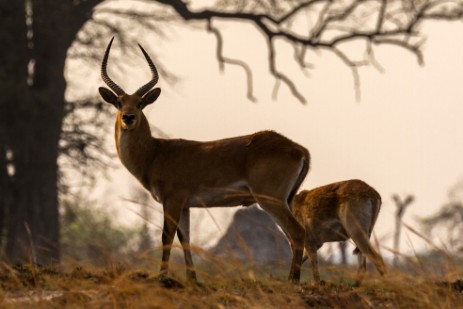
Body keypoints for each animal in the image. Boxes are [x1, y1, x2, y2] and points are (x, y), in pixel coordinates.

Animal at [97, 38, 312, 282]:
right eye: (118, 102)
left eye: (140, 102)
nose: (128, 117)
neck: (155, 153)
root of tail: (298, 149)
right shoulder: (185, 205)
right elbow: (185, 239)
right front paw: (192, 279)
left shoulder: (173, 200)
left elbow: (166, 236)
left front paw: (162, 276)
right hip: (285, 199)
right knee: (292, 238)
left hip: (270, 199)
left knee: (297, 232)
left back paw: (292, 282)